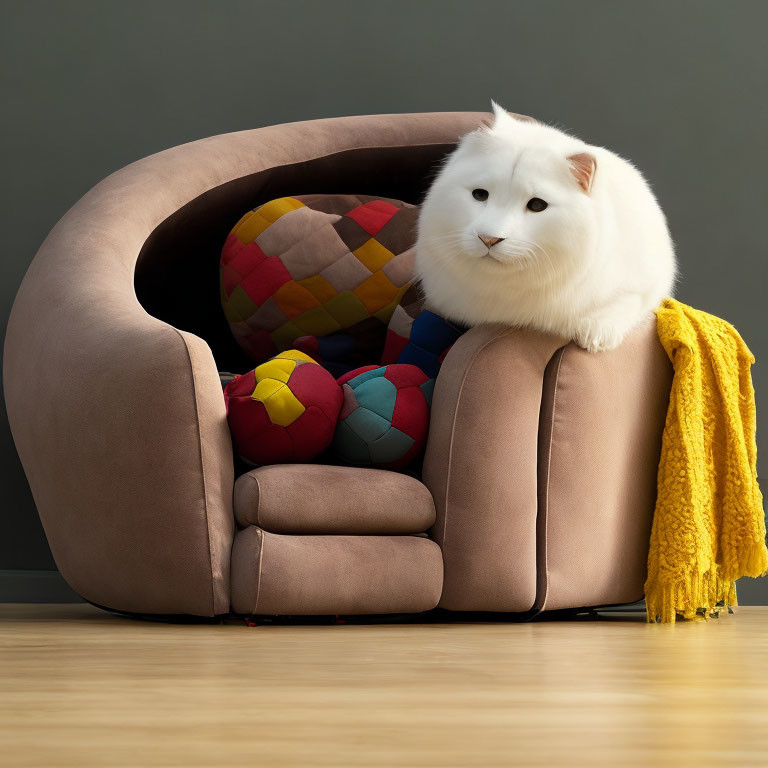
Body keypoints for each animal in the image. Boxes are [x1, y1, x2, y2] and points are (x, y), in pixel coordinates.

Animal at [416, 102, 676, 352]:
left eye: (537, 205)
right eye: (480, 195)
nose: (488, 239)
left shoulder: (647, 283)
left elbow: (624, 304)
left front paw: (595, 336)